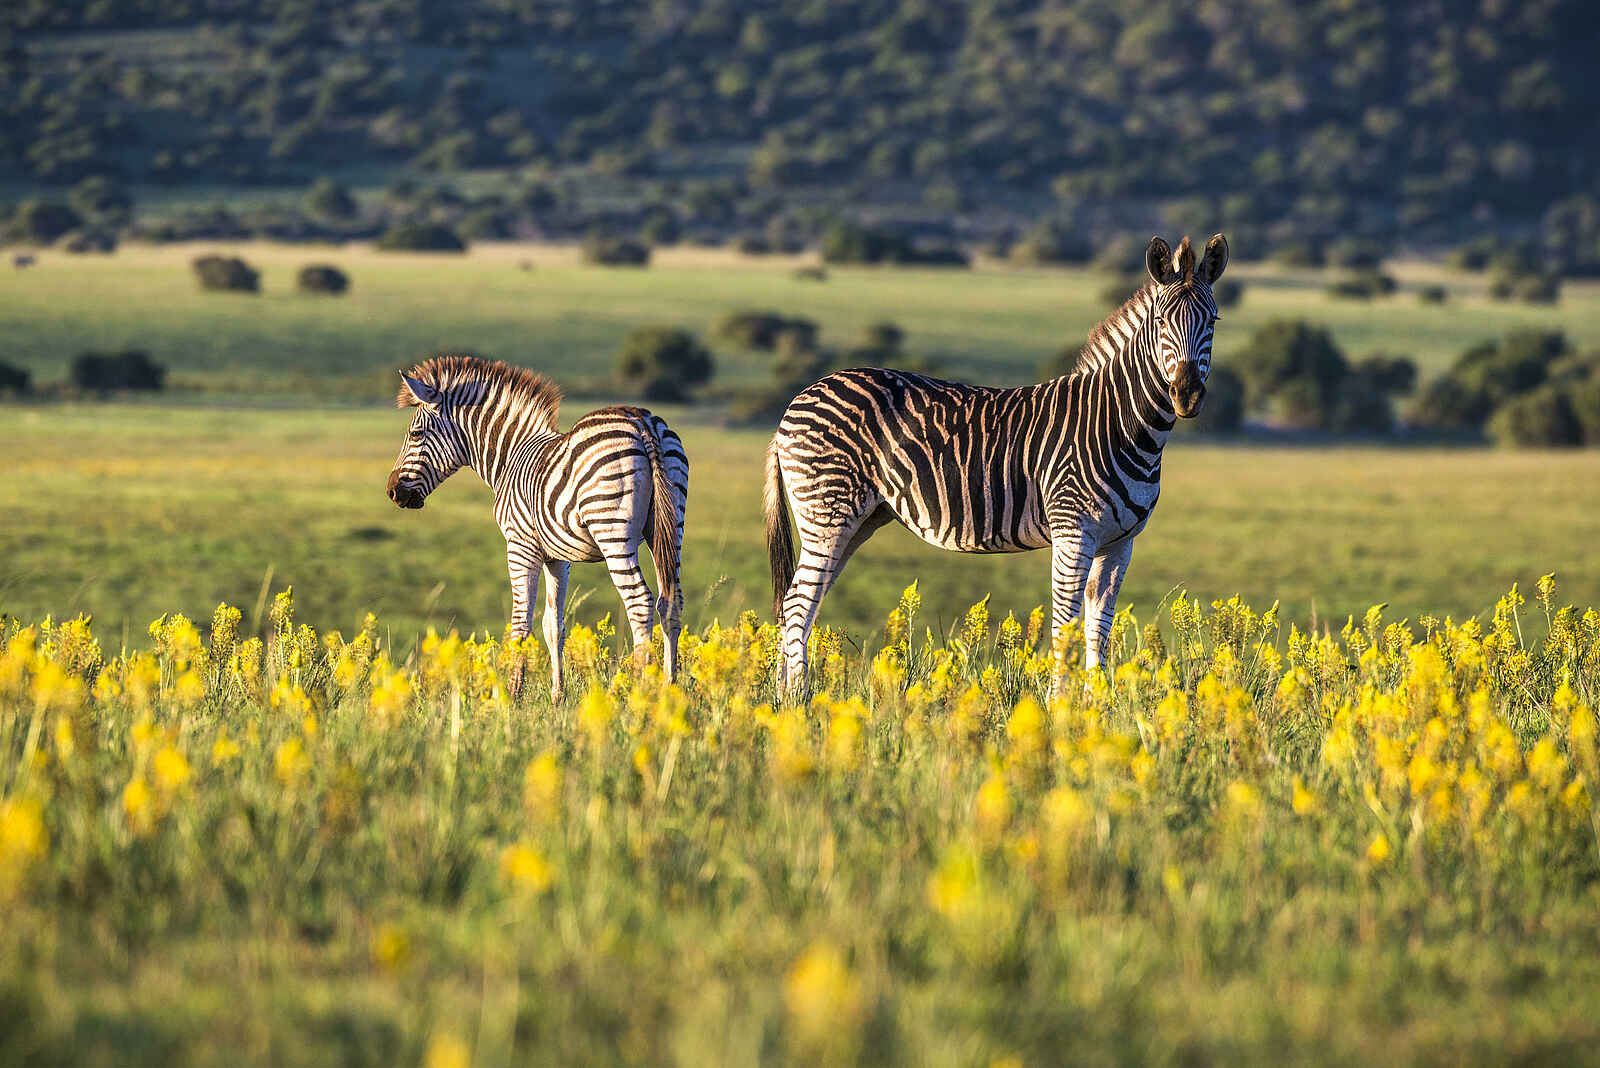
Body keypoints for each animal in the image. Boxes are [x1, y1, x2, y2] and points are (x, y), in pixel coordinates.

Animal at [386, 353, 688, 700]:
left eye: (415, 435)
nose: (392, 492)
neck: (511, 457)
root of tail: (642, 422)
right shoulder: (558, 557)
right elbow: (553, 623)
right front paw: (558, 696)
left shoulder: (520, 546)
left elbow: (521, 623)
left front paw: (510, 696)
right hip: (669, 527)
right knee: (671, 602)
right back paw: (668, 689)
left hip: (612, 530)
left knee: (640, 602)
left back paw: (632, 692)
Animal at [765, 233, 1227, 697]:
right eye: (1161, 321)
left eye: (1213, 321)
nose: (1187, 395)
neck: (1122, 423)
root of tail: (799, 398)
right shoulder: (1072, 532)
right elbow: (1064, 626)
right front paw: (1059, 705)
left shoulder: (1120, 542)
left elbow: (1099, 627)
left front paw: (1095, 704)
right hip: (827, 511)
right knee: (798, 603)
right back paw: (798, 697)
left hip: (856, 520)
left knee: (799, 601)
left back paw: (784, 698)